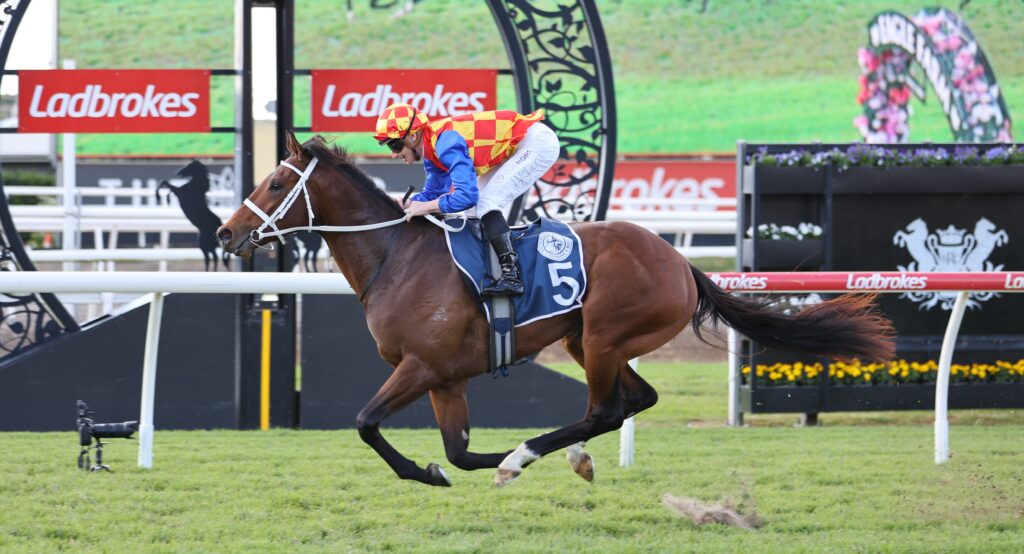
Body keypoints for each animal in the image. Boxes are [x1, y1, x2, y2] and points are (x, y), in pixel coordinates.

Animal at [216, 131, 895, 488]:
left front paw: (445, 470)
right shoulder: (446, 378)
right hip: (589, 340)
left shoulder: (420, 366)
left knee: (604, 409)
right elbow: (458, 451)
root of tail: (681, 262)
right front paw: (469, 466)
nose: (225, 234)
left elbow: (365, 422)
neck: (397, 257)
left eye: (276, 183)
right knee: (635, 401)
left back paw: (535, 453)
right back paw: (559, 453)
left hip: (602, 339)